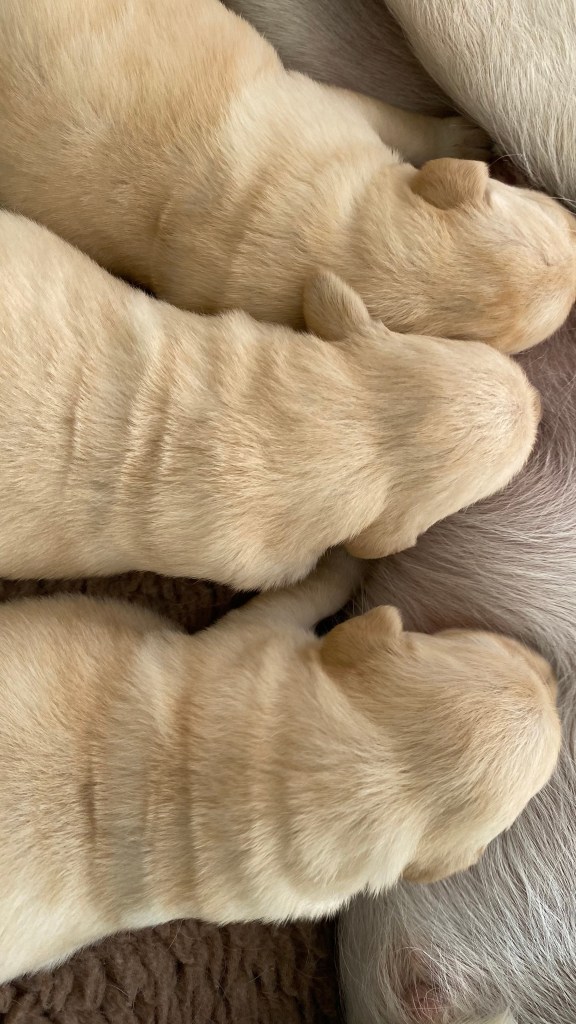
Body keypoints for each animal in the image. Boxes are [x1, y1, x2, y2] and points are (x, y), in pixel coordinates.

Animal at [0, 0, 574, 351]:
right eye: (553, 218)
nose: (570, 213)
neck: (343, 241)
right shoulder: (342, 107)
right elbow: (404, 123)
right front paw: (462, 137)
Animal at [0, 548, 560, 984]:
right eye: (499, 648)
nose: (555, 676)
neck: (375, 773)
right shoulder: (261, 634)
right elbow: (317, 588)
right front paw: (353, 554)